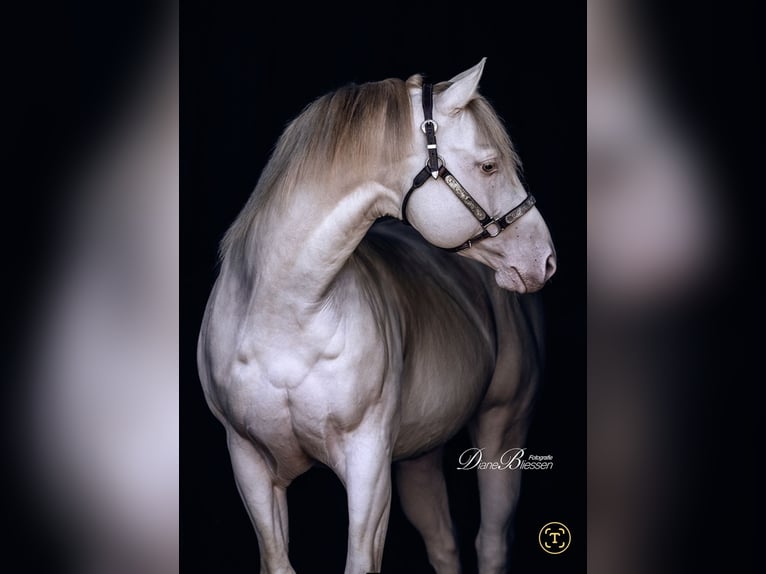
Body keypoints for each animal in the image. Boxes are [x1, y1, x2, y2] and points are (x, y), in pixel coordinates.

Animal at [197, 58, 556, 574]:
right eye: (489, 164)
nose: (544, 259)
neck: (285, 319)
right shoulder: (249, 464)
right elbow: (276, 559)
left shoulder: (367, 465)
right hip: (420, 455)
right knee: (443, 543)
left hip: (503, 429)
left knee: (491, 542)